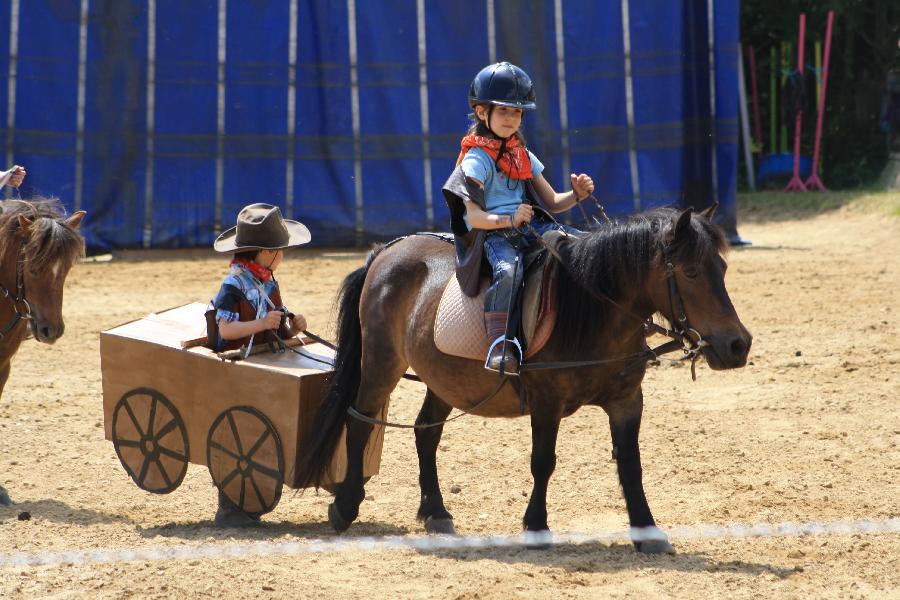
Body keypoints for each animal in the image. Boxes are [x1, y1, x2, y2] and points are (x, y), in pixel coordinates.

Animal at [298, 206, 752, 552]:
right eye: (690, 272)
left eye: (722, 267)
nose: (738, 344)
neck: (590, 311)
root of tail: (386, 250)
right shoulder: (547, 402)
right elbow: (543, 462)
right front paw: (536, 527)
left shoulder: (627, 400)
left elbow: (631, 464)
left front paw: (647, 532)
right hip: (381, 363)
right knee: (359, 420)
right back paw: (346, 506)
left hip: (444, 379)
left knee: (425, 433)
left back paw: (435, 511)